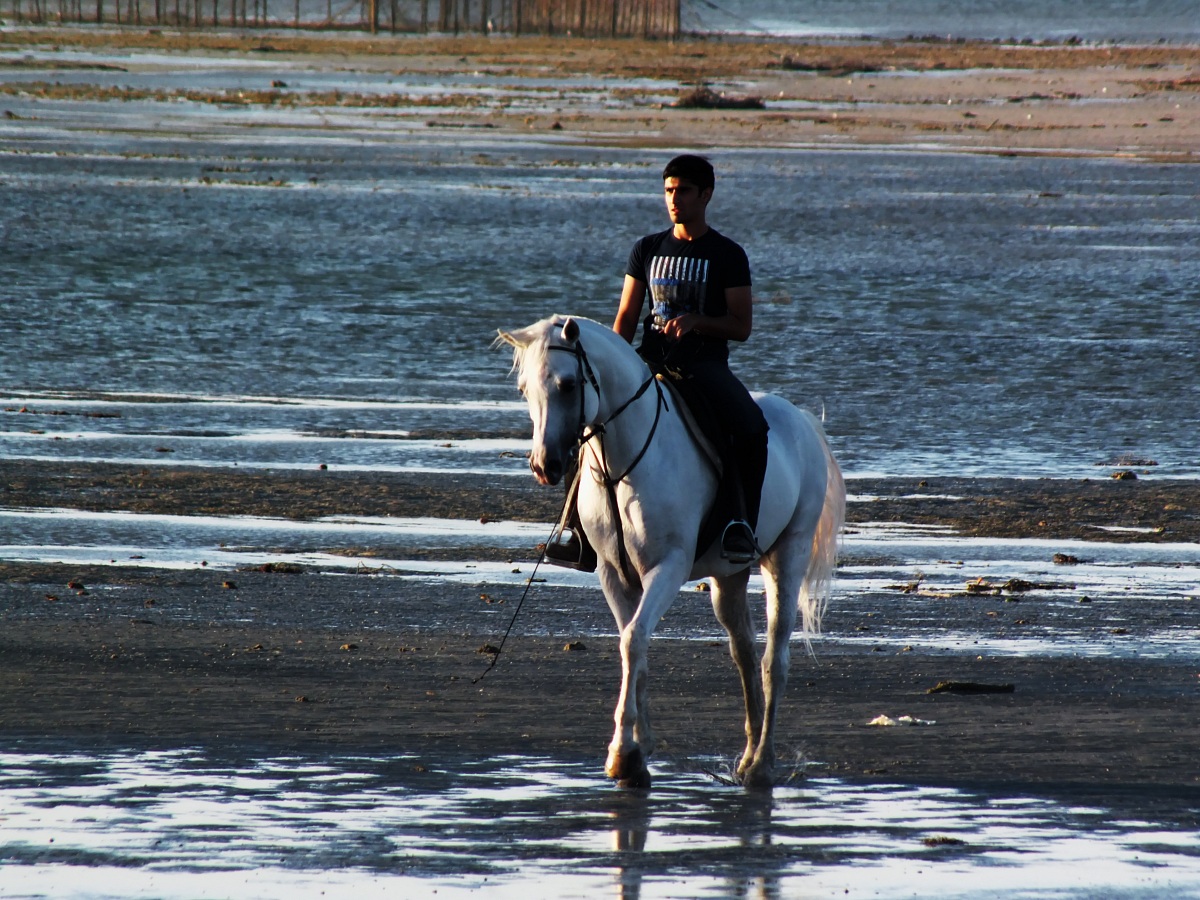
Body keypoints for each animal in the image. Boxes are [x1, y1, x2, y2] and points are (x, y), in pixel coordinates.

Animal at [497, 315, 845, 789]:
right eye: (524, 388)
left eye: (567, 385)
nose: (544, 466)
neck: (622, 462)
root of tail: (803, 420)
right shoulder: (613, 574)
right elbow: (634, 644)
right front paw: (637, 751)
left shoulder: (668, 567)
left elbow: (633, 641)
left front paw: (623, 753)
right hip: (727, 576)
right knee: (744, 653)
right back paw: (747, 756)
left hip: (786, 558)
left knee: (775, 658)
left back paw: (761, 764)